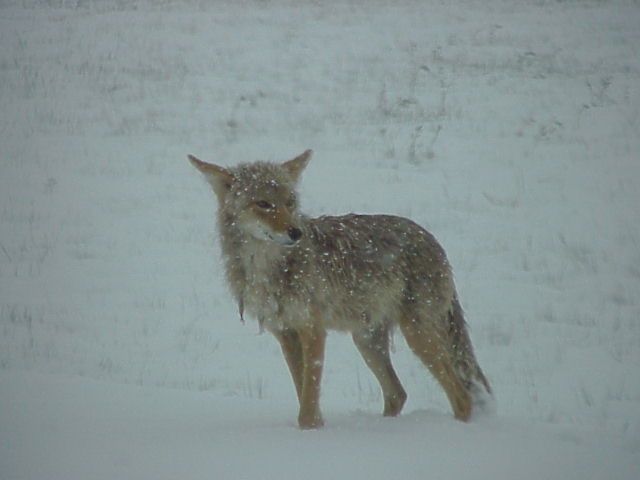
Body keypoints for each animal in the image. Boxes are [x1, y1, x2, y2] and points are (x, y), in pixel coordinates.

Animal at [188, 149, 492, 429]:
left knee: (462, 396)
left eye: (290, 202)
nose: (295, 232)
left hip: (417, 336)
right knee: (398, 394)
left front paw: (311, 429)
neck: (268, 267)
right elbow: (302, 390)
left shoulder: (312, 329)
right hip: (367, 341)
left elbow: (309, 396)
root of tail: (434, 241)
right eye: (263, 203)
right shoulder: (286, 333)